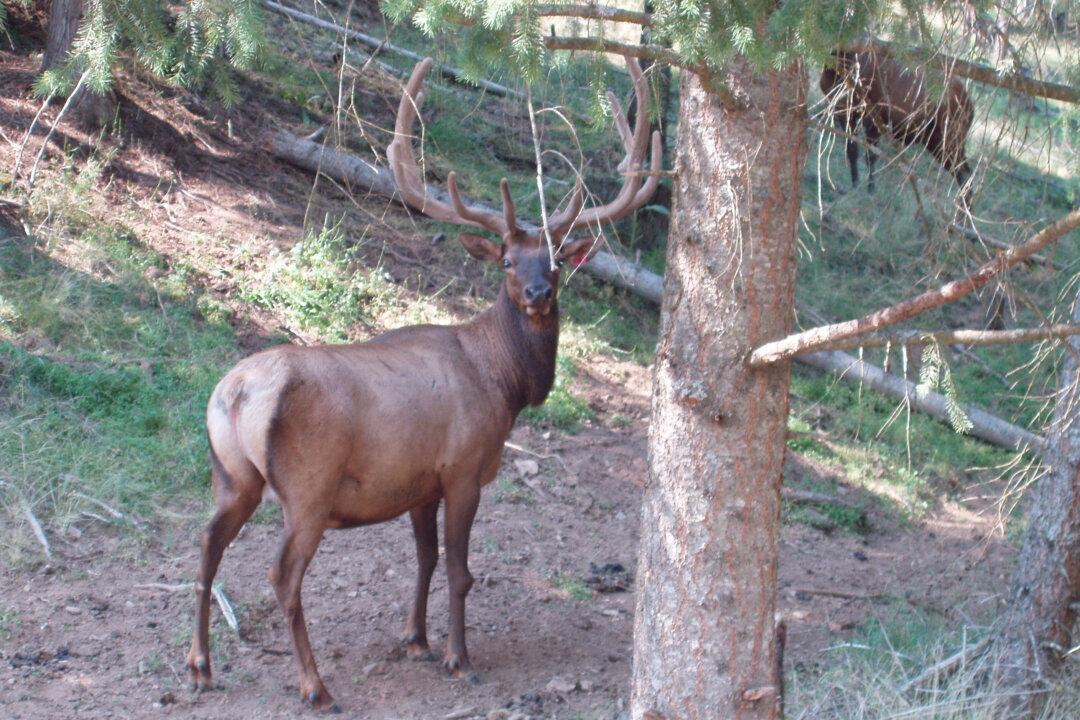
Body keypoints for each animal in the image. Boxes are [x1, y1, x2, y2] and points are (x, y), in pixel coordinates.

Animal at [186, 55, 660, 712]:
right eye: (507, 262)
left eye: (557, 261)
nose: (539, 293)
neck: (504, 383)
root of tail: (235, 396)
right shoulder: (463, 468)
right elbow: (460, 570)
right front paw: (460, 657)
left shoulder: (418, 483)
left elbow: (426, 559)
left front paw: (416, 639)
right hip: (307, 489)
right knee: (282, 575)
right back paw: (315, 685)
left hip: (231, 476)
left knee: (207, 546)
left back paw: (201, 666)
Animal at [819, 48, 975, 206]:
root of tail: (970, 105)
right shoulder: (844, 113)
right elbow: (851, 151)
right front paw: (855, 184)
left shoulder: (873, 116)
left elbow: (871, 156)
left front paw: (870, 190)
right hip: (935, 142)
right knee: (963, 173)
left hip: (950, 139)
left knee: (965, 173)